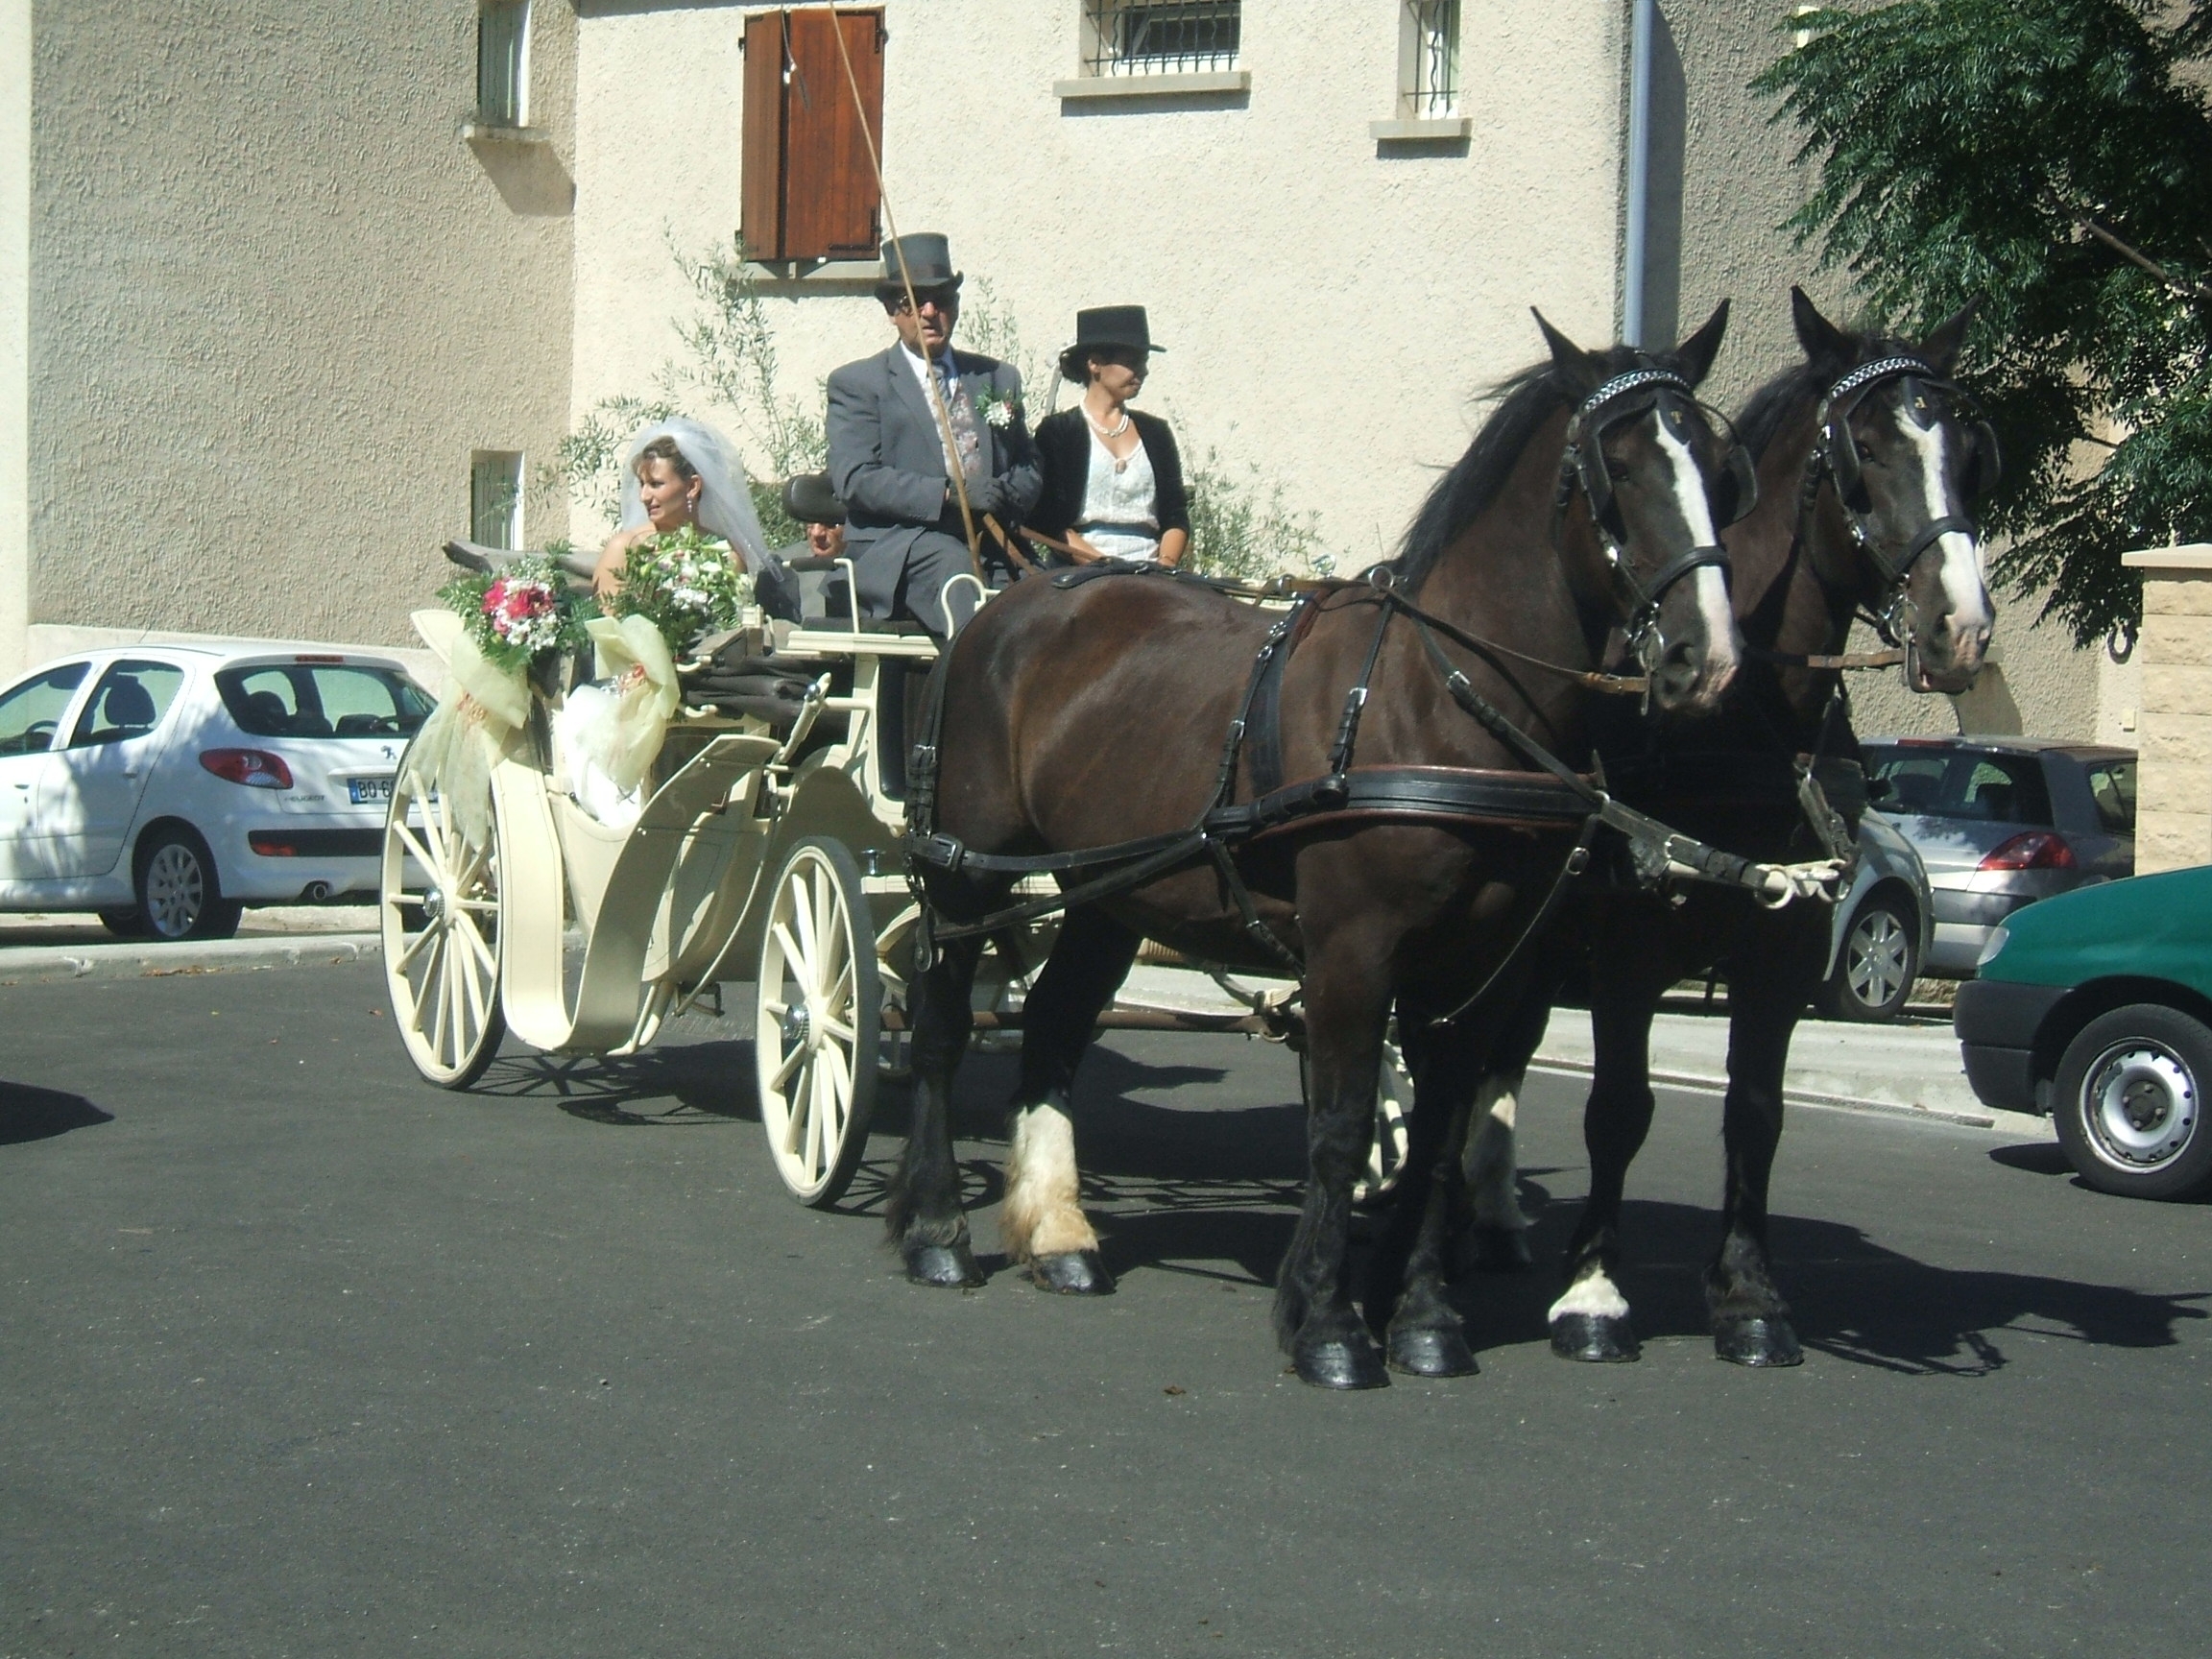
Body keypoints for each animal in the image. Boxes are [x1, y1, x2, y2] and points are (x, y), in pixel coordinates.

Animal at [889, 309, 1751, 1388]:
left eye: (1719, 469)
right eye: (1620, 467)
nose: (1705, 660)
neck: (1440, 701)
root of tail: (1003, 605)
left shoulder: (1483, 969)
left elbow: (1436, 1136)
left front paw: (1424, 1321)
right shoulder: (1355, 950)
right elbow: (1340, 1131)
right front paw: (1331, 1327)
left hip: (1110, 892)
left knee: (1052, 1028)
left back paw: (1060, 1237)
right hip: (967, 872)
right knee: (939, 1029)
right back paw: (934, 1231)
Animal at [1415, 285, 2008, 1371]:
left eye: (1965, 452)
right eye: (1865, 448)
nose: (1961, 628)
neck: (1748, 720)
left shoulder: (1784, 944)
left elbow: (1756, 1113)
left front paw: (1749, 1299)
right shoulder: (1629, 943)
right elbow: (1619, 1108)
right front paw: (1595, 1294)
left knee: (1496, 1059)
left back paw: (1491, 1219)